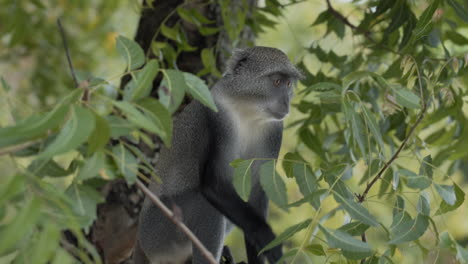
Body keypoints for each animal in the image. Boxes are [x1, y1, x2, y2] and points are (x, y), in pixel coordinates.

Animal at [135, 46, 304, 262]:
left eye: (288, 83)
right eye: (276, 81)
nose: (286, 103)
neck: (247, 108)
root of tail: (140, 244)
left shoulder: (274, 130)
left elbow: (256, 194)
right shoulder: (217, 117)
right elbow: (214, 184)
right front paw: (266, 237)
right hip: (159, 232)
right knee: (206, 207)